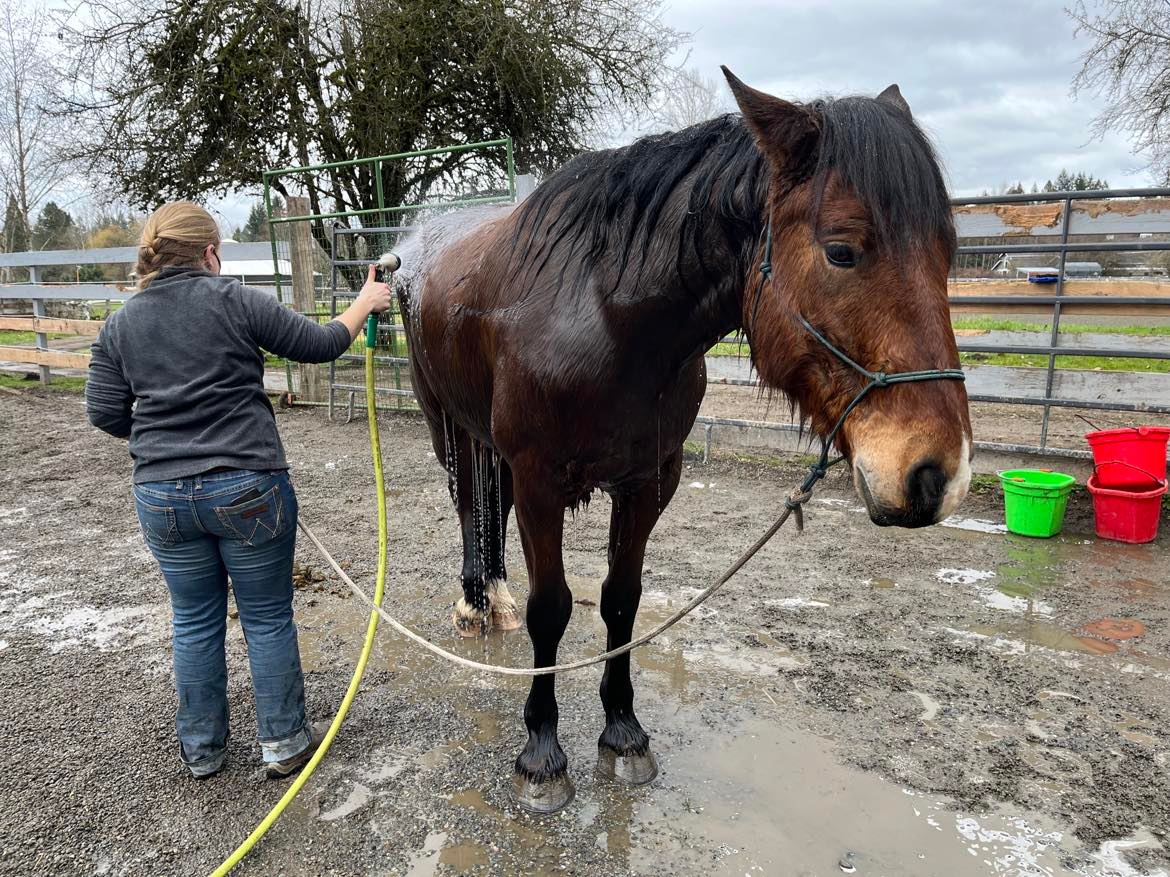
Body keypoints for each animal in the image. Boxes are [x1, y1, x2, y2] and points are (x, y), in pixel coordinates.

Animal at [397, 70, 973, 818]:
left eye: (947, 252)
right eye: (842, 250)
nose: (938, 473)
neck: (605, 317)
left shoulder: (649, 480)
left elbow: (621, 600)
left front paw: (623, 733)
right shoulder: (539, 480)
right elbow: (551, 608)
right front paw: (541, 755)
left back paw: (492, 597)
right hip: (448, 426)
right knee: (469, 506)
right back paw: (473, 602)